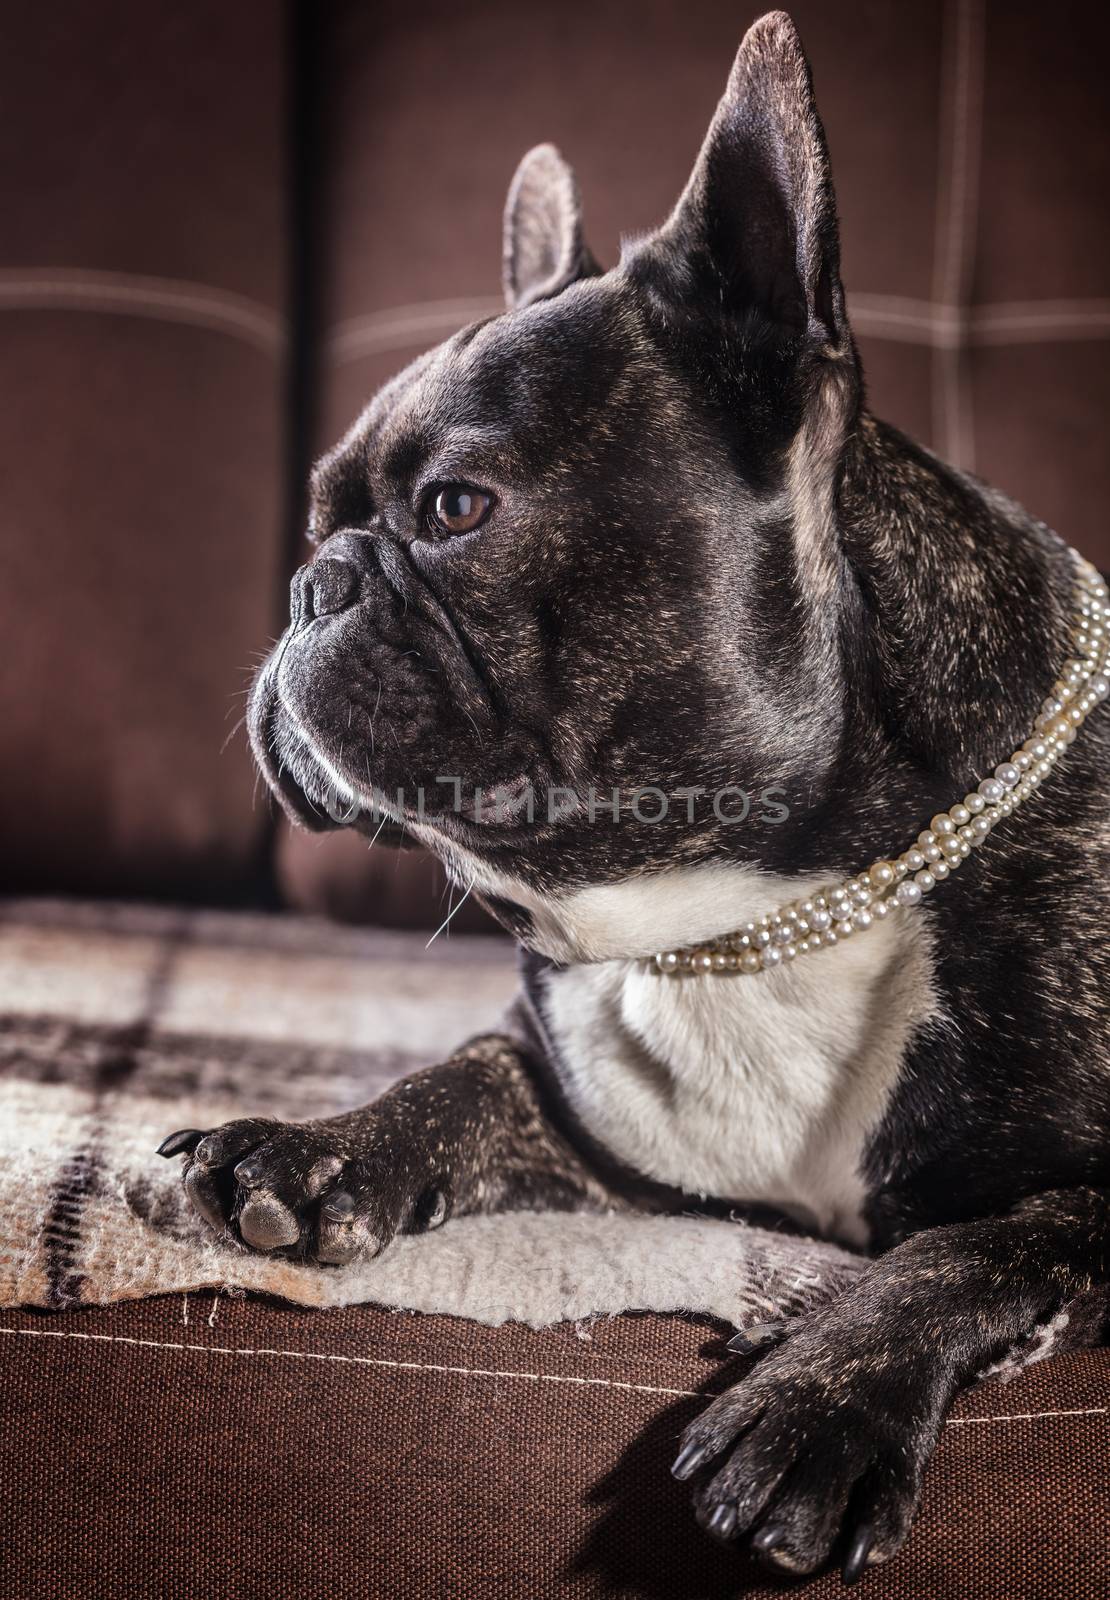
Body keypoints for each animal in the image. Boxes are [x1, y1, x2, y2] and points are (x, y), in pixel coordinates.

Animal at [158, 12, 1110, 1580]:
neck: (749, 912)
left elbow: (986, 1244)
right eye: (320, 517)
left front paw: (819, 1408)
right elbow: (475, 1074)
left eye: (455, 510)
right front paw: (309, 1144)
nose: (312, 582)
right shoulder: (623, 1140)